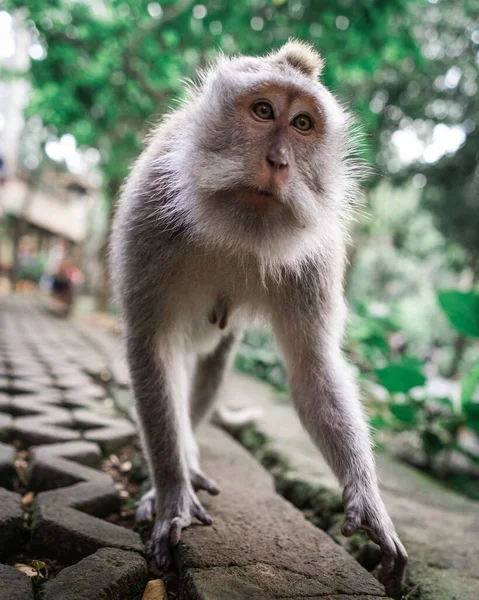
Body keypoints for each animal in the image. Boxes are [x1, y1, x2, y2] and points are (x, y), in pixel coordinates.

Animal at [109, 39, 408, 596]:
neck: (240, 226)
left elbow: (312, 369)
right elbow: (149, 346)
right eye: (264, 111)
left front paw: (368, 501)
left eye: (303, 124)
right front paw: (172, 495)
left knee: (214, 364)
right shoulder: (148, 211)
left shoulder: (317, 256)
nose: (278, 161)